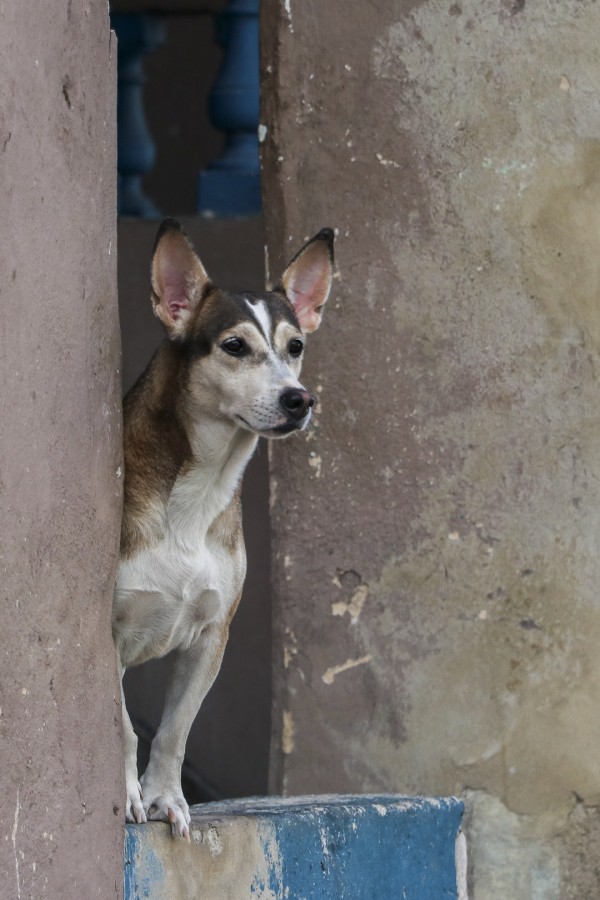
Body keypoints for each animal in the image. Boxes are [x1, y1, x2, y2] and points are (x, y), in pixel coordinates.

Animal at [112, 221, 332, 840]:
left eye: (295, 347)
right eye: (234, 346)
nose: (300, 399)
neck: (200, 484)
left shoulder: (212, 636)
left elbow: (174, 730)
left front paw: (165, 796)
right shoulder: (106, 637)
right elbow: (124, 728)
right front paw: (128, 793)